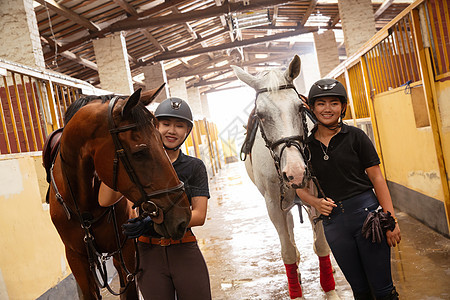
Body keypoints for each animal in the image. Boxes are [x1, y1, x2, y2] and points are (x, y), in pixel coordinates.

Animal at [48, 85, 192, 298]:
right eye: (139, 152)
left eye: (161, 141)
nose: (183, 218)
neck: (85, 205)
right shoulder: (76, 258)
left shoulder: (126, 252)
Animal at [234, 55, 340, 298]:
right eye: (261, 116)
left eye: (300, 108)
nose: (295, 172)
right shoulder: (274, 205)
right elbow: (288, 252)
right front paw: (297, 292)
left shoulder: (316, 195)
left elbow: (322, 244)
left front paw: (330, 290)